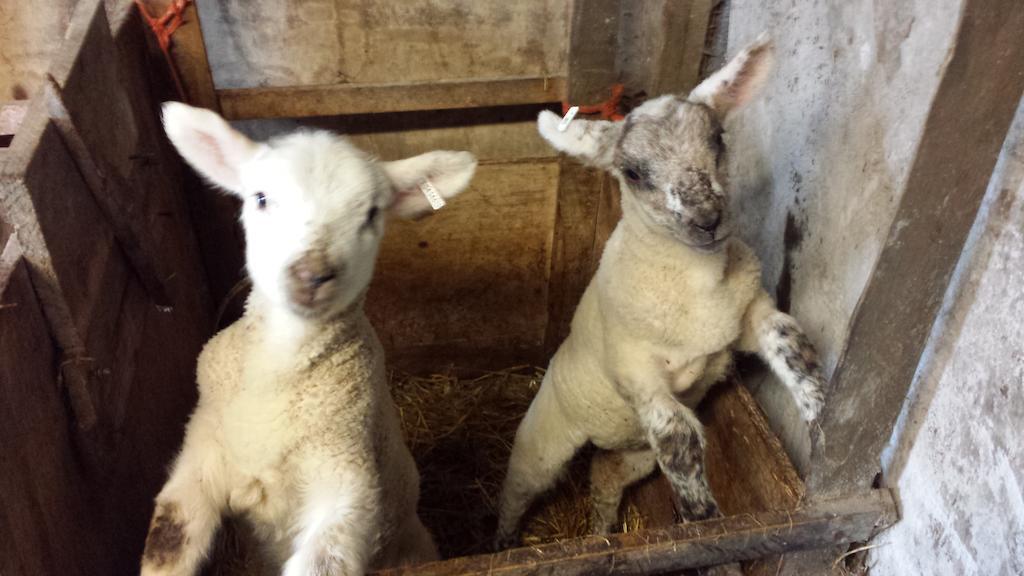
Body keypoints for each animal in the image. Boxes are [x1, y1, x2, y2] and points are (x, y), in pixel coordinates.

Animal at [142, 103, 477, 573]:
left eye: (371, 214)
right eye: (260, 198)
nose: (312, 275)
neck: (274, 379)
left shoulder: (346, 473)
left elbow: (324, 556)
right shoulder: (202, 453)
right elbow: (168, 538)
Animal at [493, 35, 823, 545]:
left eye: (718, 140)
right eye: (632, 172)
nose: (707, 219)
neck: (698, 291)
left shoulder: (747, 316)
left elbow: (788, 340)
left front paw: (815, 408)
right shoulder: (634, 370)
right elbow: (677, 437)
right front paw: (701, 515)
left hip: (632, 454)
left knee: (607, 480)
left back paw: (601, 533)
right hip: (544, 437)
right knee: (519, 487)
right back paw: (504, 540)